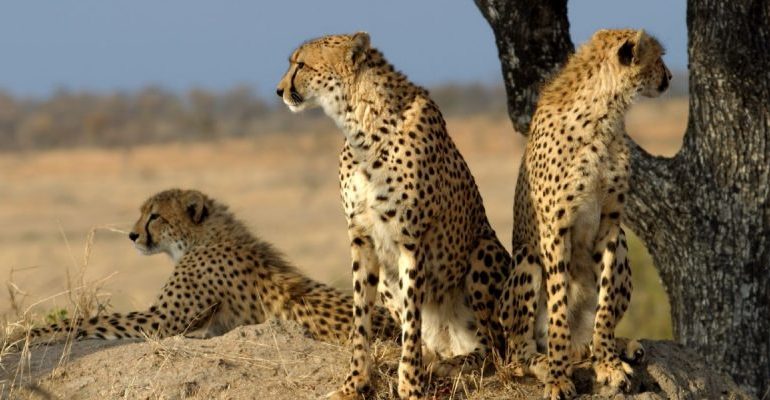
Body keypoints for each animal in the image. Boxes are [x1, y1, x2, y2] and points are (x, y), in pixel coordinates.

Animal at [9, 189, 398, 348]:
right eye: (143, 213)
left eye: (155, 216)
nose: (132, 235)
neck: (201, 238)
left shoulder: (162, 320)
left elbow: (91, 320)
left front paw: (32, 333)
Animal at [277, 32, 511, 400]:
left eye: (300, 64)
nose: (279, 90)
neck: (360, 124)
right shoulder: (361, 237)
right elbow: (361, 317)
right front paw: (354, 383)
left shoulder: (410, 240)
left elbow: (412, 320)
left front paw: (410, 384)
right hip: (390, 280)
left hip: (483, 252)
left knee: (494, 347)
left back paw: (456, 363)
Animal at [499, 29, 671, 399]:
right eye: (658, 58)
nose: (670, 77)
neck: (604, 116)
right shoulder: (555, 229)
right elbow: (559, 310)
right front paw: (558, 376)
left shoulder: (610, 224)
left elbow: (604, 308)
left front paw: (608, 364)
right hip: (527, 260)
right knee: (518, 349)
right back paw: (542, 362)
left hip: (622, 245)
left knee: (589, 334)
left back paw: (617, 346)